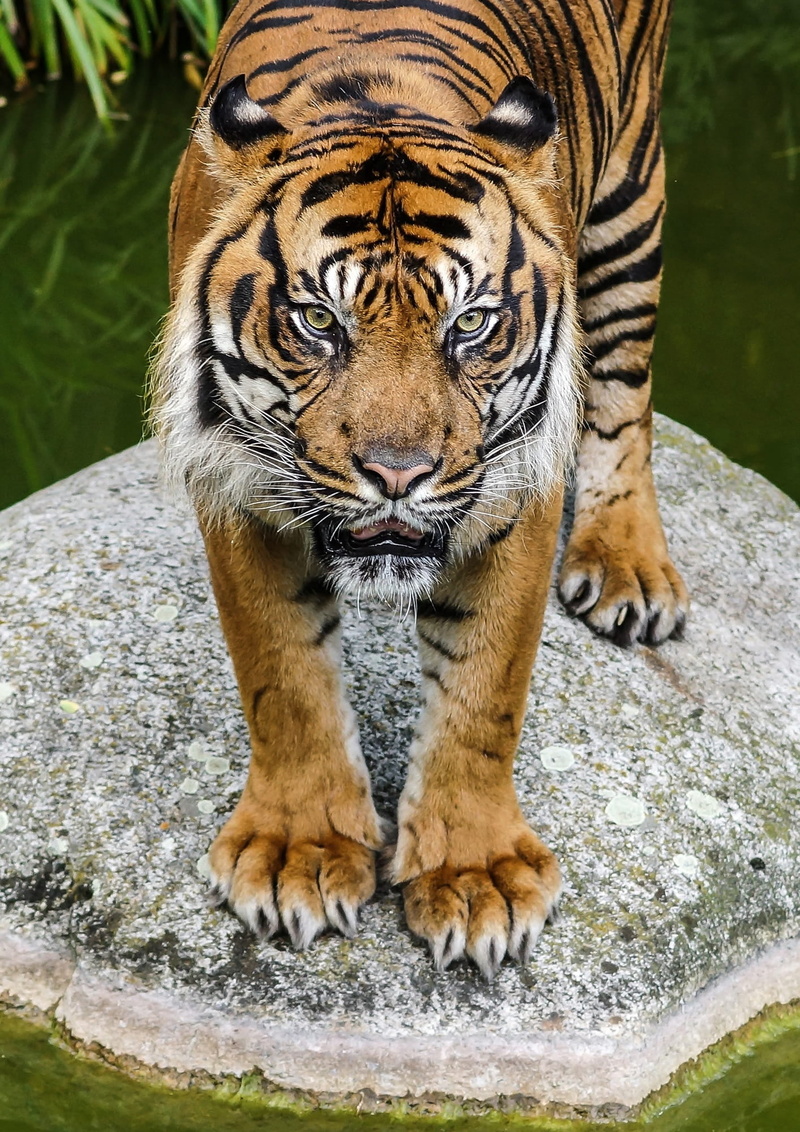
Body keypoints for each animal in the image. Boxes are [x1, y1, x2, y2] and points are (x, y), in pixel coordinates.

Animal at [153, 0, 688, 979]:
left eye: (469, 324)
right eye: (317, 321)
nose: (398, 473)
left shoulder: (513, 490)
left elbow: (485, 688)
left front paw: (475, 877)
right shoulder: (235, 481)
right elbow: (281, 674)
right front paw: (298, 854)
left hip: (633, 196)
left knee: (625, 391)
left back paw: (628, 567)